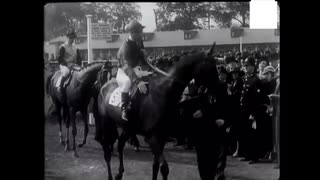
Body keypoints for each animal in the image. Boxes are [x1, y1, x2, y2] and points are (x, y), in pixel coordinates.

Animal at [92, 43, 219, 179]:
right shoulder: (152, 138)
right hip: (106, 122)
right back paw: (111, 174)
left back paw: (119, 173)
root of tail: (103, 86)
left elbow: (156, 166)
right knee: (107, 151)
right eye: (210, 68)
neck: (162, 93)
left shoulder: (162, 137)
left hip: (128, 127)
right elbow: (164, 167)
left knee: (120, 145)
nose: (215, 95)